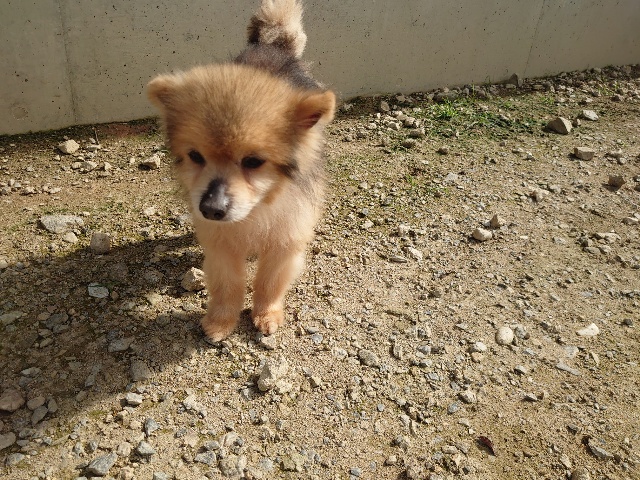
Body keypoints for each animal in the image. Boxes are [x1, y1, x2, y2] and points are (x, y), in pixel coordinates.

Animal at [147, 0, 335, 341]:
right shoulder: (220, 246)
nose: (210, 208)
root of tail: (272, 45)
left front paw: (266, 314)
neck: (256, 212)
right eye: (195, 156)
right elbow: (228, 285)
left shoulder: (285, 242)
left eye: (253, 162)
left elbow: (269, 282)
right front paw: (221, 321)